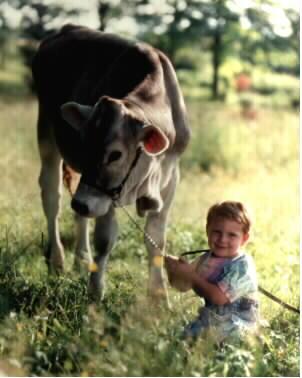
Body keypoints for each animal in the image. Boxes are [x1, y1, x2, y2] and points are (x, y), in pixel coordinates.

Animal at [31, 24, 190, 302]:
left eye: (115, 154)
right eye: (84, 143)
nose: (82, 203)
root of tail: (67, 28)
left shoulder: (171, 179)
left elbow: (157, 239)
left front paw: (159, 296)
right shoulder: (107, 194)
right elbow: (105, 240)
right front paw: (95, 292)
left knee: (78, 212)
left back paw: (82, 259)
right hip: (46, 133)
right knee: (52, 199)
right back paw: (58, 261)